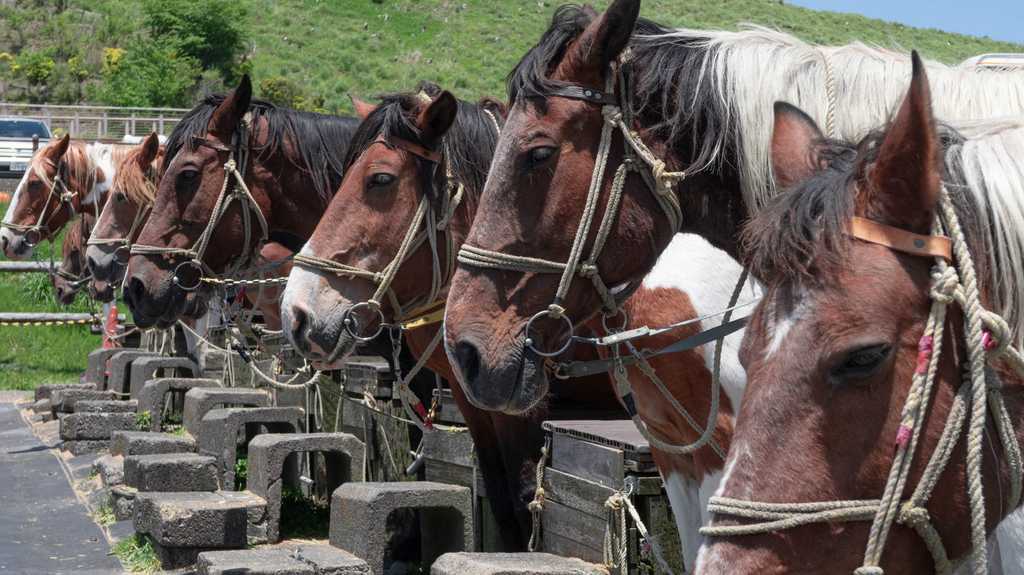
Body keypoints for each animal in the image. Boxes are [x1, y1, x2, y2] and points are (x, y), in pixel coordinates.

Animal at [279, 84, 752, 564]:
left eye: (380, 179)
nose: (297, 312)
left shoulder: (525, 406)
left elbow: (524, 498)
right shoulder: (476, 406)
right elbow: (500, 499)